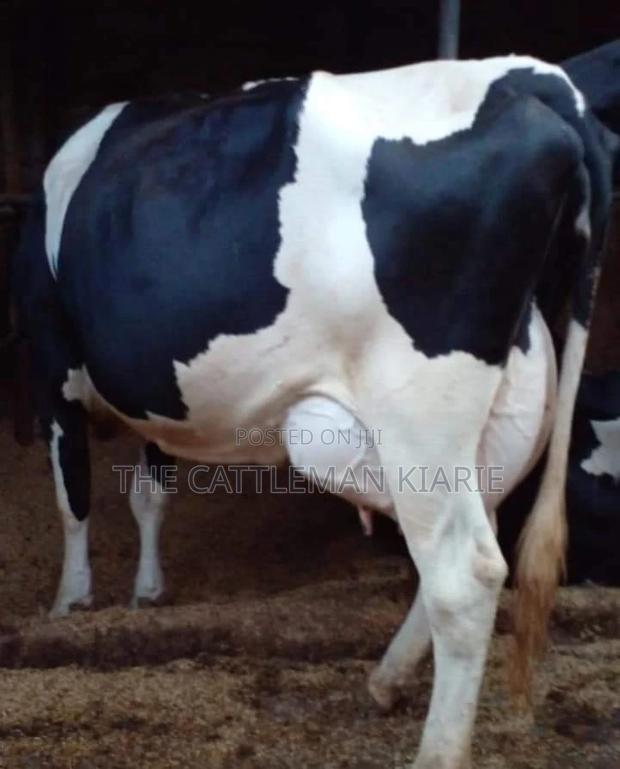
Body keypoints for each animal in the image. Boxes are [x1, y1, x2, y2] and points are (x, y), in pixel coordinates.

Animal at [14, 53, 617, 769]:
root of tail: (535, 78)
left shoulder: (52, 365)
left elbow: (72, 496)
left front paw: (71, 602)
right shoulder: (158, 391)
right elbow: (149, 495)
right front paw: (148, 592)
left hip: (418, 408)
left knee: (464, 572)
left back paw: (435, 749)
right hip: (497, 400)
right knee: (481, 532)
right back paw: (386, 680)